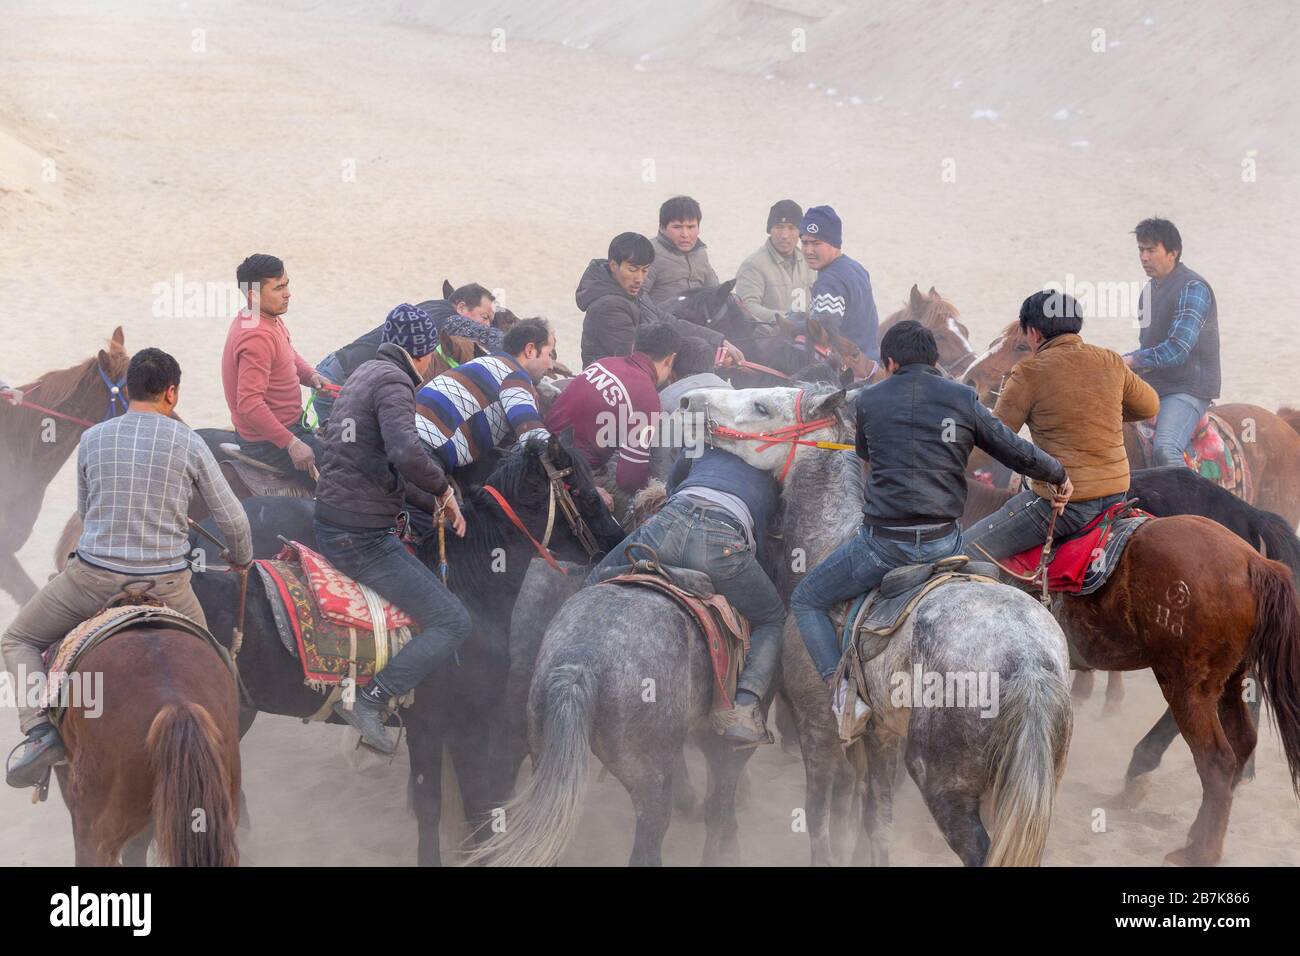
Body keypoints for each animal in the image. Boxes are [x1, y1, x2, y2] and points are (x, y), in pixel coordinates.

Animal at [188, 434, 624, 868]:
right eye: (584, 492)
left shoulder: (449, 727)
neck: (468, 586)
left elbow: (459, 802)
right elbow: (462, 805)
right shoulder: (450, 725)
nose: (617, 541)